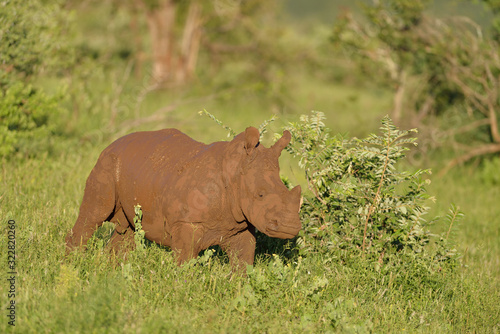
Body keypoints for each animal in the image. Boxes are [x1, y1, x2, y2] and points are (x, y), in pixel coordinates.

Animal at [66, 126, 300, 270]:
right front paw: (183, 288)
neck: (235, 172)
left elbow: (243, 259)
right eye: (260, 194)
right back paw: (72, 262)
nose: (290, 227)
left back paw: (114, 270)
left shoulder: (239, 225)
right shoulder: (186, 222)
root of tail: (113, 142)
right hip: (107, 161)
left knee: (129, 228)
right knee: (94, 215)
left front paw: (240, 288)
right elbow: (185, 260)